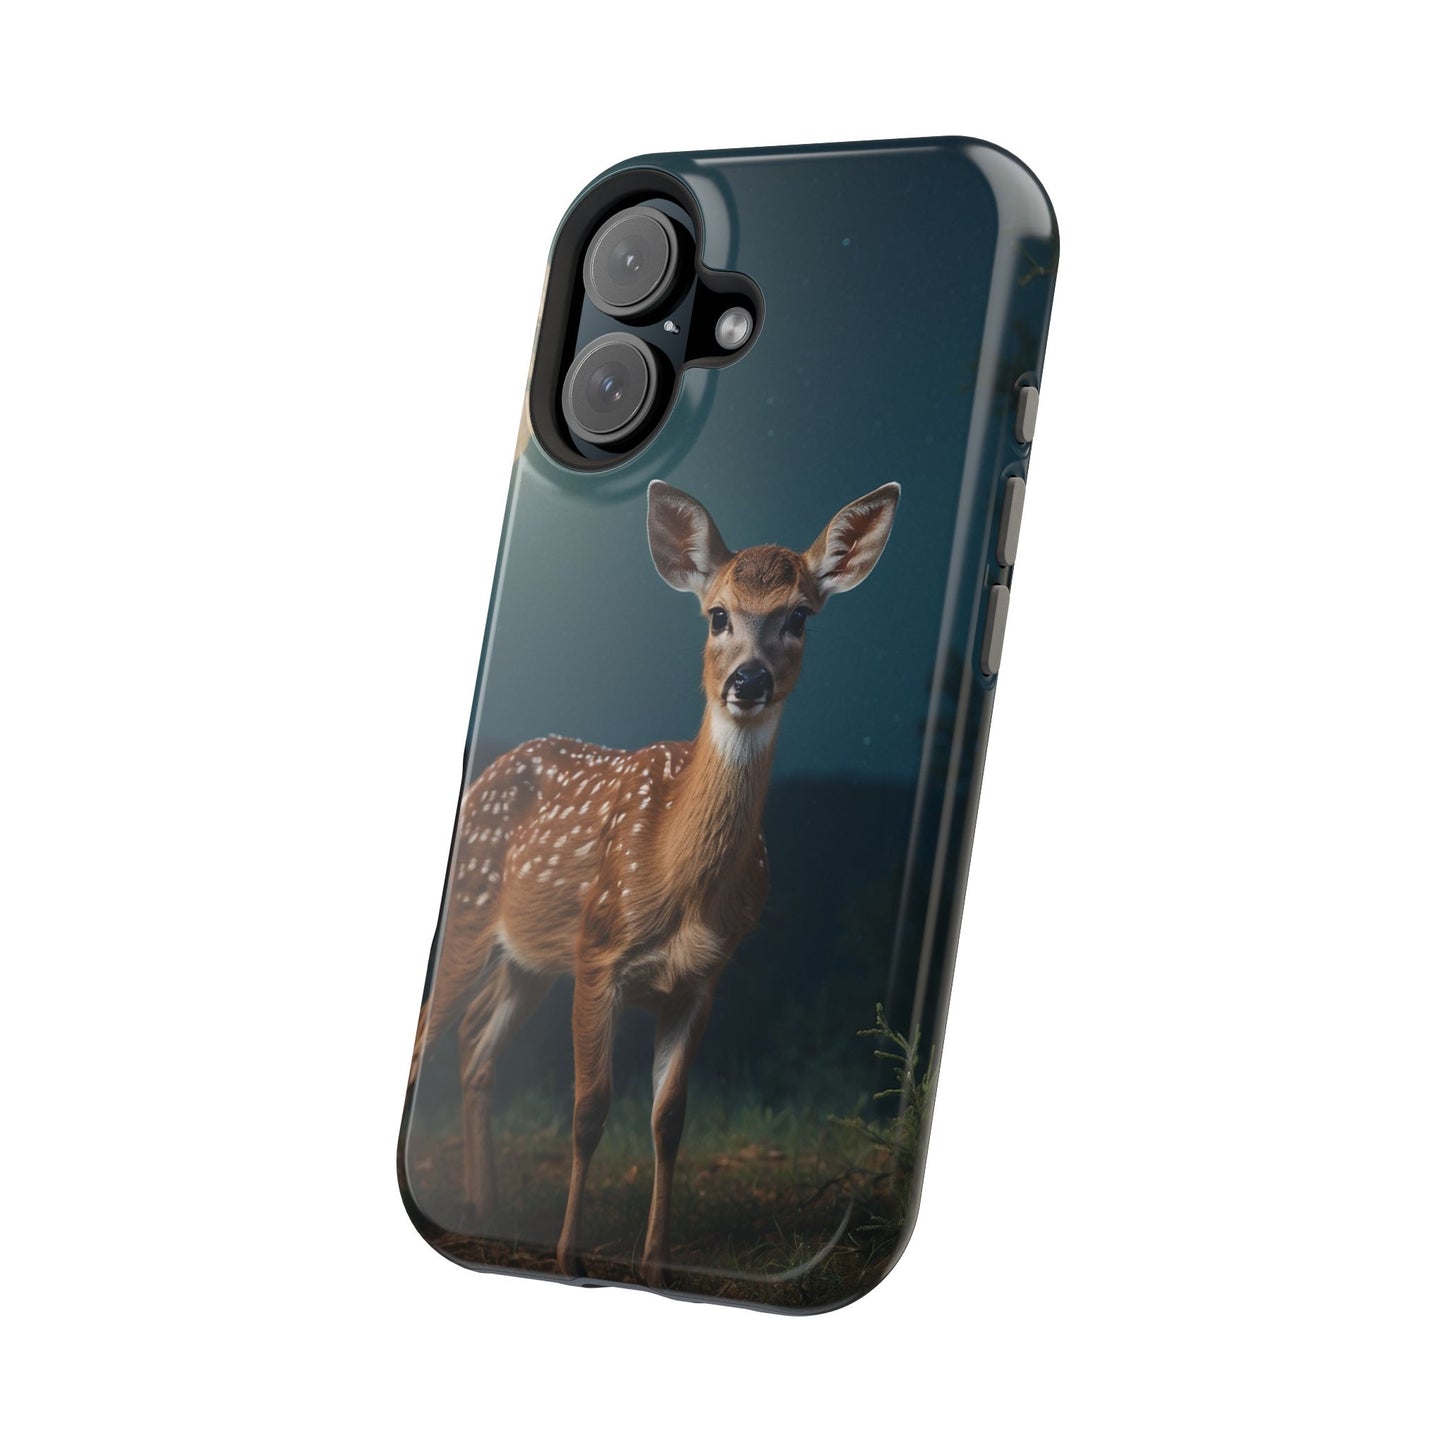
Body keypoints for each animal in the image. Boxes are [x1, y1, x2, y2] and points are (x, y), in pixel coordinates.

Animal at [412, 477, 899, 1287]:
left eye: (799, 615)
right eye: (717, 614)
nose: (748, 680)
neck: (680, 886)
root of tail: (489, 771)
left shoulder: (700, 981)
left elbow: (668, 1120)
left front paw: (657, 1263)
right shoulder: (597, 955)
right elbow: (588, 1110)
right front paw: (570, 1252)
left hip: (529, 958)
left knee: (478, 1042)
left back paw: (483, 1204)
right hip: (473, 910)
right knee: (434, 1028)